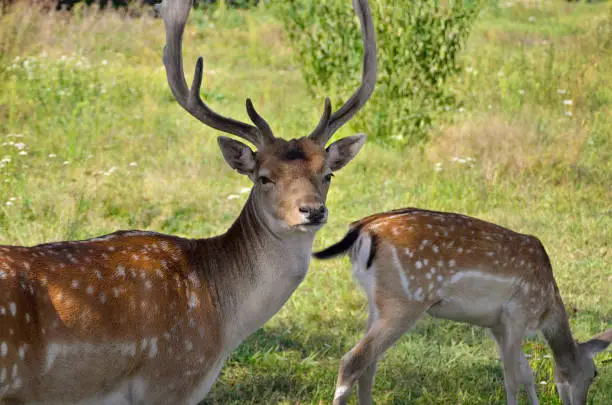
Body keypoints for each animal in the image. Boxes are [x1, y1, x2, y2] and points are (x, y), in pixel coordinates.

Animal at [318, 208, 608, 404]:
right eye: (594, 373)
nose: (580, 403)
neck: (546, 306)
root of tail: (362, 230)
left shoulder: (497, 324)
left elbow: (526, 373)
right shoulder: (517, 313)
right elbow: (512, 377)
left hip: (377, 303)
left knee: (369, 363)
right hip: (405, 300)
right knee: (353, 360)